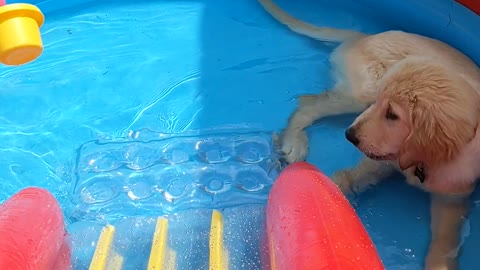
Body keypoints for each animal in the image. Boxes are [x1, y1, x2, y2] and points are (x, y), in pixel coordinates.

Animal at [258, 0, 480, 270]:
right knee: (307, 105)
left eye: (393, 115)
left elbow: (445, 240)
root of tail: (364, 37)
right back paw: (294, 142)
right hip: (363, 93)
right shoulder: (382, 156)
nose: (349, 135)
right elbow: (352, 175)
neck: (423, 162)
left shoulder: (452, 197)